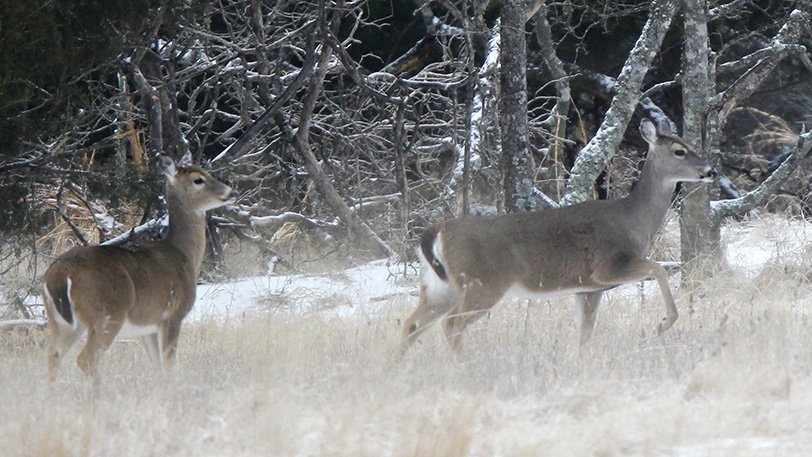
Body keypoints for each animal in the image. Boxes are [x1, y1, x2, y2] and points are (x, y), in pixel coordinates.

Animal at [41, 151, 238, 382]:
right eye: (198, 179)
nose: (231, 192)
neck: (184, 254)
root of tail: (59, 275)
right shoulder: (173, 313)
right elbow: (169, 364)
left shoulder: (149, 325)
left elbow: (158, 366)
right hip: (108, 314)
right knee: (86, 358)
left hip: (61, 321)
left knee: (52, 355)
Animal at [400, 117, 716, 356]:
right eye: (679, 151)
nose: (711, 170)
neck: (633, 220)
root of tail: (436, 231)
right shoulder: (606, 266)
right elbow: (658, 268)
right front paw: (664, 323)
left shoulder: (587, 288)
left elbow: (585, 333)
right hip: (481, 284)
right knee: (450, 326)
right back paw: (464, 366)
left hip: (439, 287)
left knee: (412, 324)